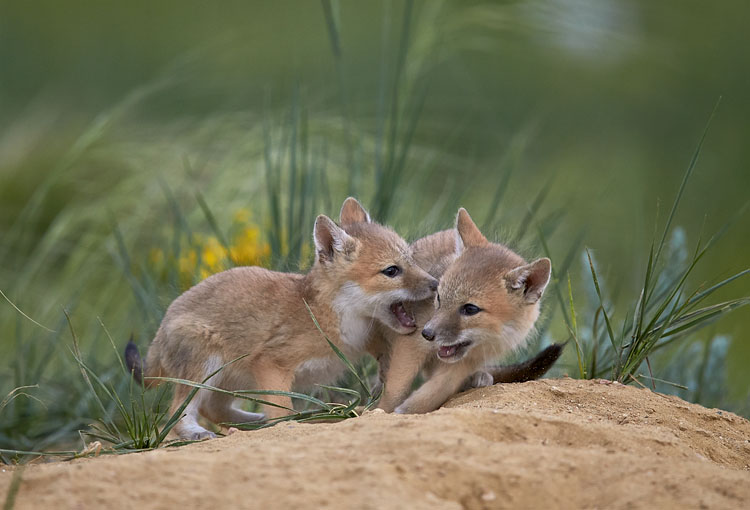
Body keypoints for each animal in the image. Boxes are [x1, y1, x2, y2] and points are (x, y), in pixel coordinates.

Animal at [125, 199, 438, 440]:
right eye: (391, 271)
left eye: (412, 259)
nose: (435, 284)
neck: (327, 316)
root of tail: (162, 327)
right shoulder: (272, 363)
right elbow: (281, 412)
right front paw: (286, 425)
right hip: (204, 371)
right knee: (178, 414)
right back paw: (198, 432)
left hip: (230, 381)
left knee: (213, 409)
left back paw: (253, 423)